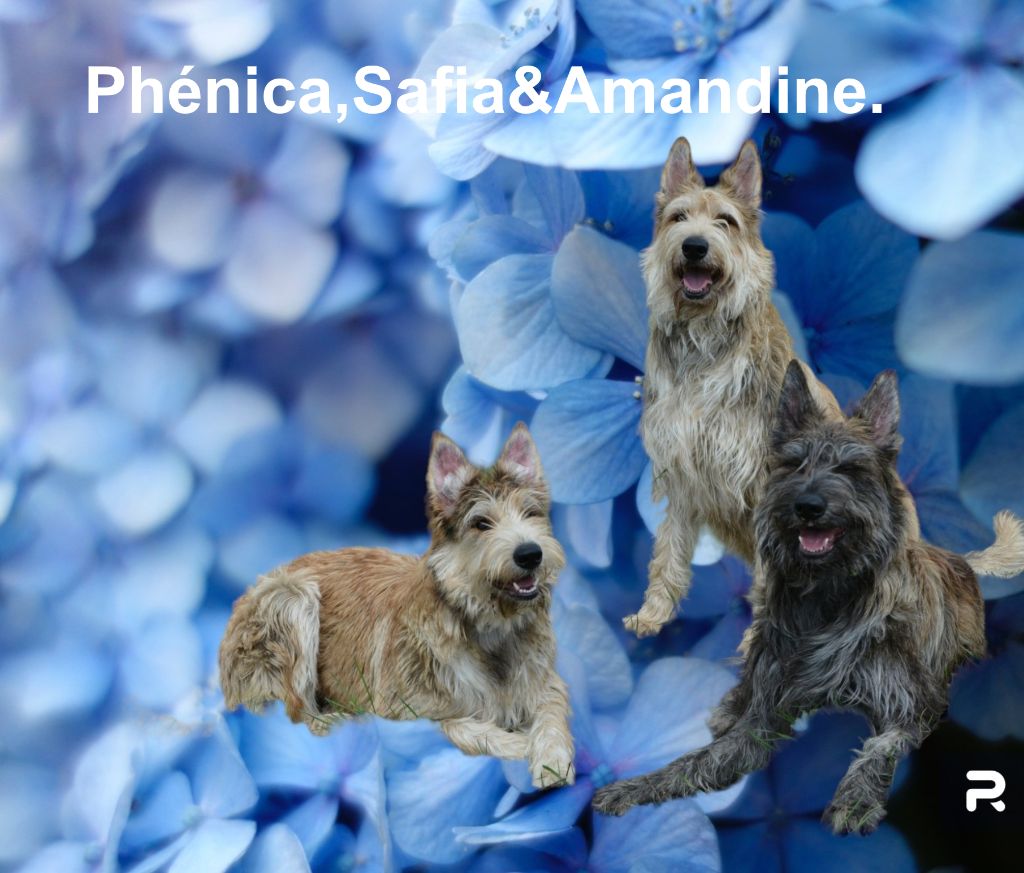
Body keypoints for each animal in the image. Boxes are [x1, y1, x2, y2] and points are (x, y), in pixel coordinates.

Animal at [220, 423, 577, 790]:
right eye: (481, 523)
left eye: (530, 513)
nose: (530, 554)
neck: (490, 629)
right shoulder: (403, 710)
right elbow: (455, 723)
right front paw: (520, 744)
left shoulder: (546, 684)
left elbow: (551, 714)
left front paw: (550, 757)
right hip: (293, 598)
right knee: (296, 715)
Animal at [593, 360, 1024, 831]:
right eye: (794, 464)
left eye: (851, 469)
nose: (808, 506)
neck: (827, 598)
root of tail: (960, 559)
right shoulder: (766, 714)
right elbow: (695, 762)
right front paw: (632, 787)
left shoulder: (915, 708)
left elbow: (878, 748)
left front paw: (855, 800)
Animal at [626, 138, 851, 638]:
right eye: (678, 217)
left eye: (725, 221)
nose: (694, 246)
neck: (703, 341)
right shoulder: (682, 471)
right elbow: (667, 552)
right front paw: (653, 614)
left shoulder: (766, 481)